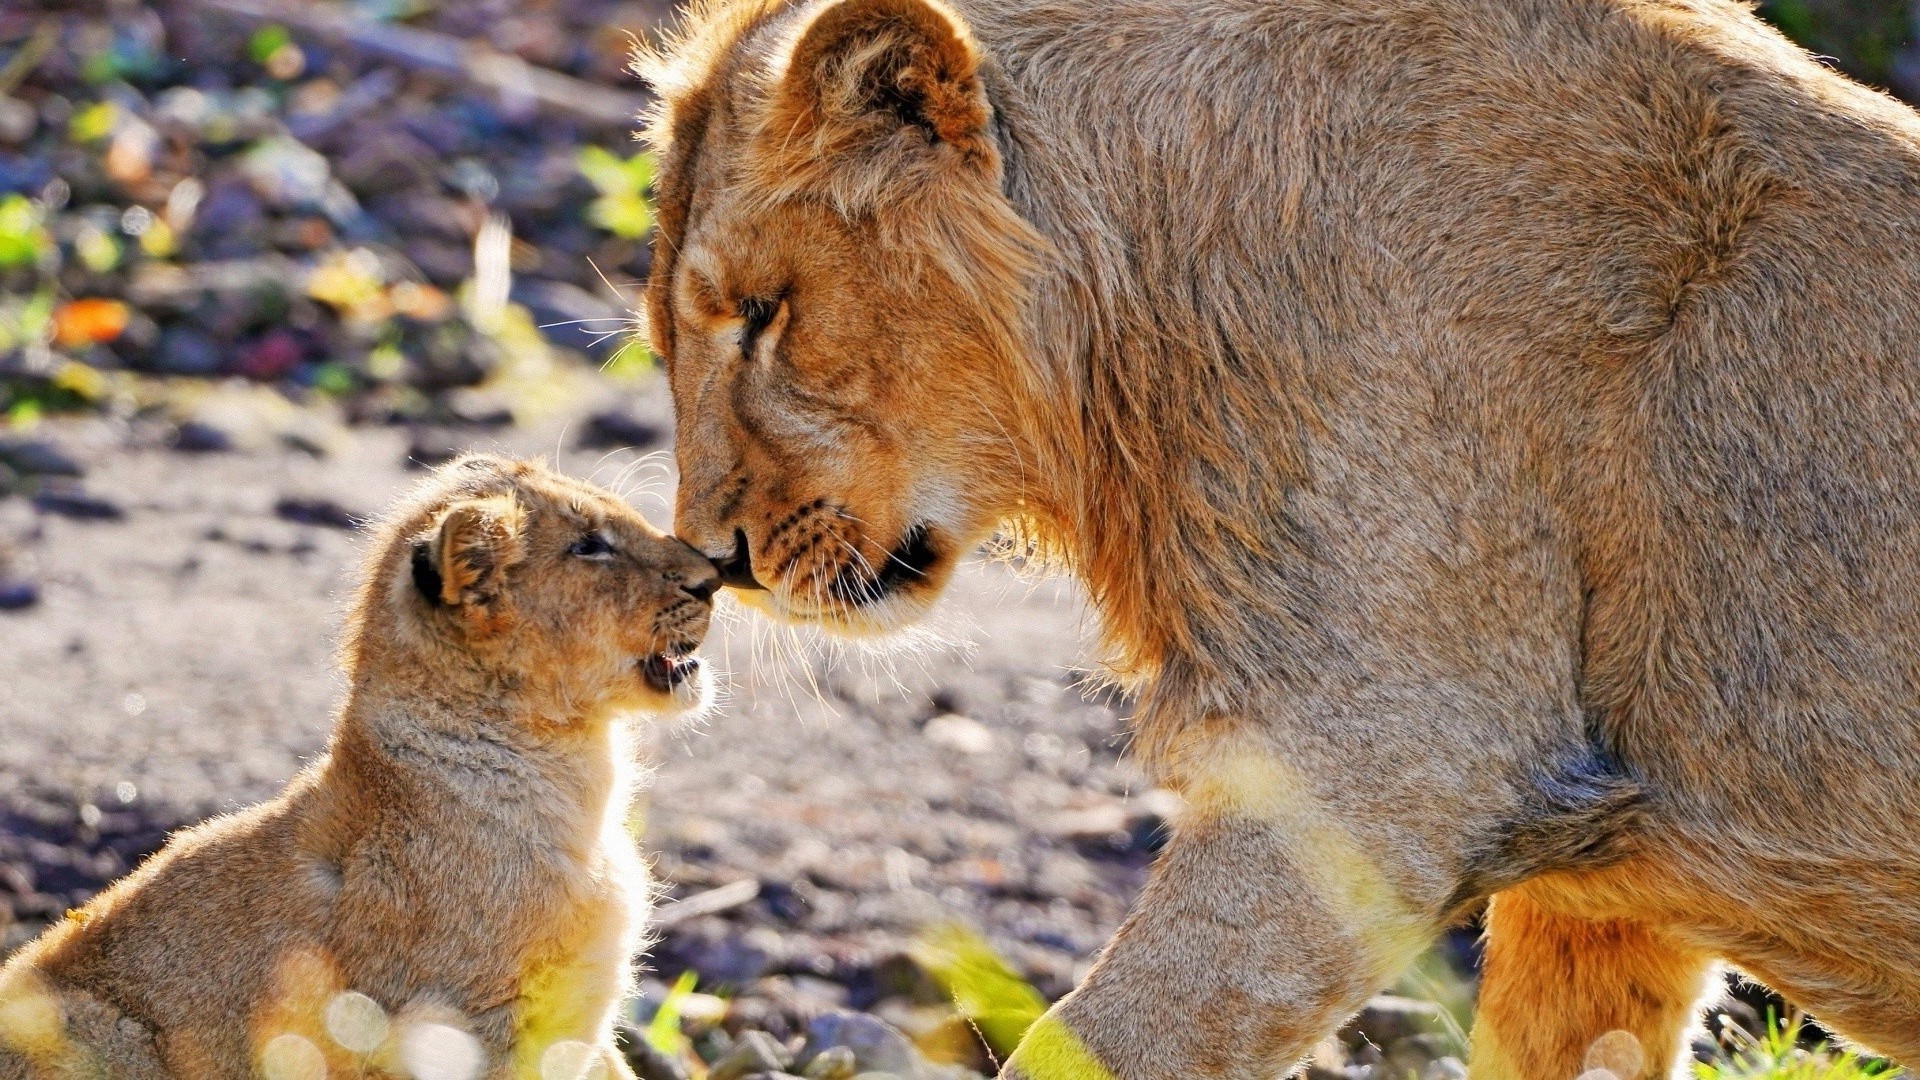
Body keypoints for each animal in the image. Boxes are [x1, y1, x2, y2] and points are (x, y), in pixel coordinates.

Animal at [641, 0, 1920, 1068]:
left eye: (762, 314)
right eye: (665, 336)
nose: (718, 560)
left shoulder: (1390, 762)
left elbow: (1092, 1045)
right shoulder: (1599, 904)